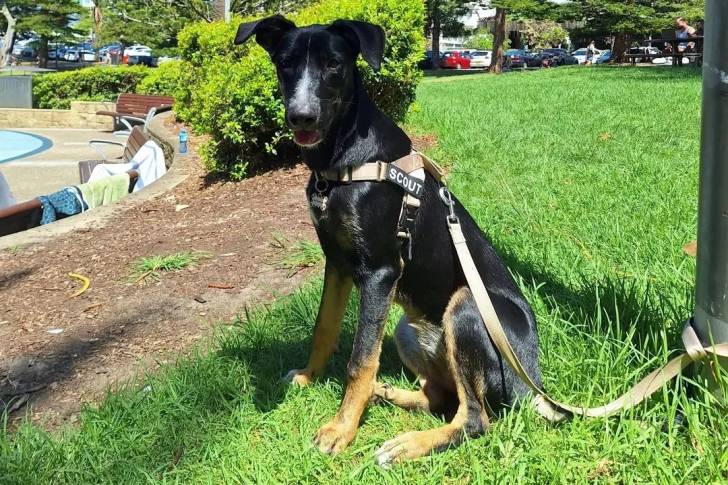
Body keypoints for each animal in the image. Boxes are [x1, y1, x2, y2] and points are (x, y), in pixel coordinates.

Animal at [235, 15, 543, 465]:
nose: (301, 117)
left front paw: (341, 429)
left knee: (474, 418)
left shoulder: (379, 272)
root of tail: (532, 383)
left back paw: (409, 443)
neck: (342, 162)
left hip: (466, 305)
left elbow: (361, 360)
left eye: (333, 64)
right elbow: (323, 329)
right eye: (285, 63)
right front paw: (309, 377)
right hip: (407, 328)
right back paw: (390, 395)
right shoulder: (337, 262)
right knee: (440, 397)